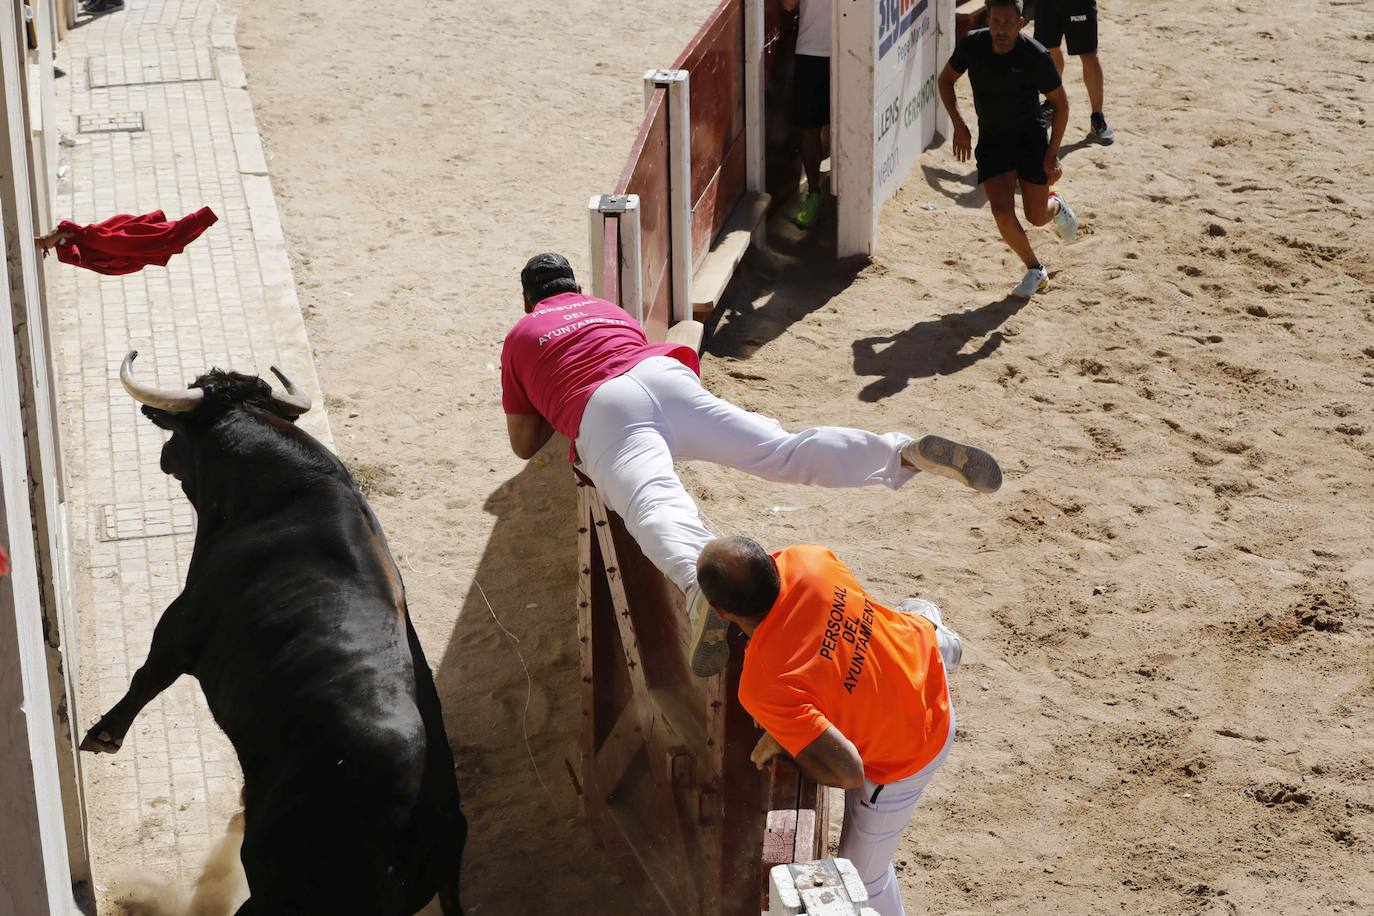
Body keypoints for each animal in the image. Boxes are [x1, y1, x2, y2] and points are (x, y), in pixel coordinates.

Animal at [89, 362, 472, 911]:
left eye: (179, 432)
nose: (163, 457)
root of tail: (432, 828)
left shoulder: (182, 623)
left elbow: (148, 675)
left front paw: (103, 735)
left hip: (275, 885)